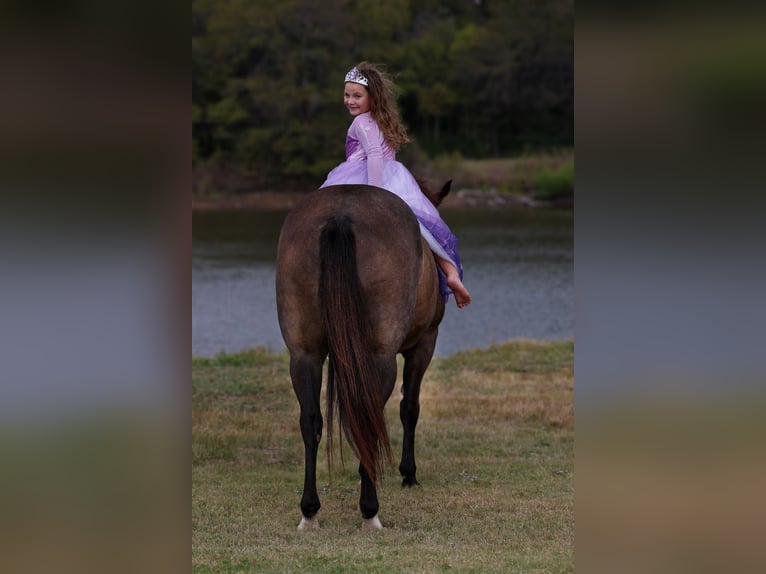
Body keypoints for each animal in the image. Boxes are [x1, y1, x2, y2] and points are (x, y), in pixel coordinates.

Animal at [275, 179, 452, 530]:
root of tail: (340, 216)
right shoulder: (424, 343)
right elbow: (410, 408)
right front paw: (408, 473)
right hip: (379, 355)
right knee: (368, 416)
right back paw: (370, 510)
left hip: (304, 354)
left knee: (311, 421)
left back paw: (309, 510)